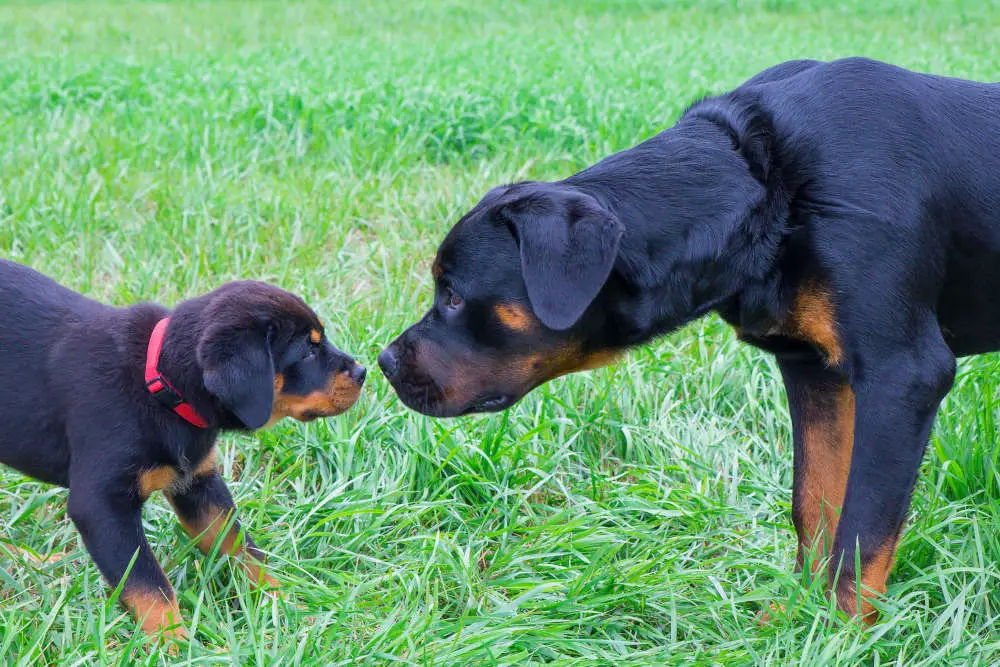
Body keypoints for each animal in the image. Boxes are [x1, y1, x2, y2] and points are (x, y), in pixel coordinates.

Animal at [0, 260, 368, 640]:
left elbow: (240, 547)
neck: (159, 384)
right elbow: (148, 584)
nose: (363, 372)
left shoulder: (197, 483)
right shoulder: (103, 504)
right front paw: (173, 642)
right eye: (308, 352)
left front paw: (287, 608)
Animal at [380, 58, 1000, 628]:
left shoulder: (901, 375)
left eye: (454, 295)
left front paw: (840, 632)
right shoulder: (812, 369)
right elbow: (814, 503)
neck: (770, 192)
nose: (384, 361)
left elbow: (862, 533)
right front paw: (799, 617)